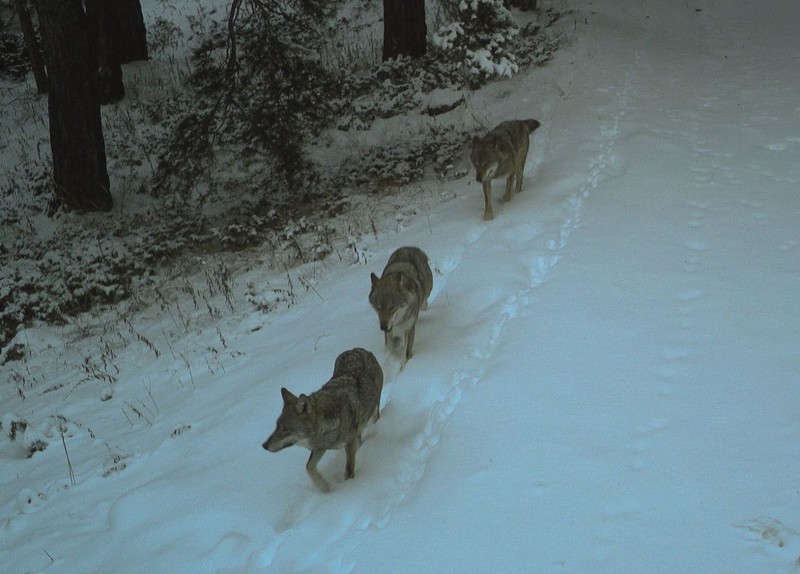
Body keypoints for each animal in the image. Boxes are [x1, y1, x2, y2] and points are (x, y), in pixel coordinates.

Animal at [262, 348, 384, 492]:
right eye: (276, 427)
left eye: (285, 429)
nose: (264, 445)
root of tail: (357, 349)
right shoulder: (320, 447)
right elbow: (309, 467)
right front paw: (323, 486)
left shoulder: (349, 442)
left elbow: (349, 470)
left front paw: (348, 487)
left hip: (374, 410)